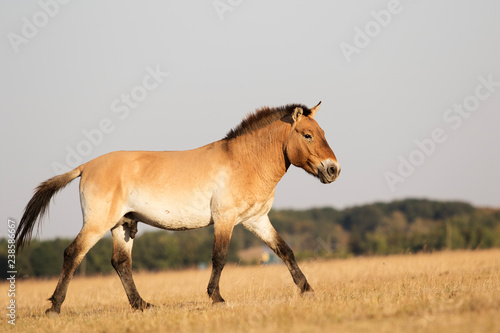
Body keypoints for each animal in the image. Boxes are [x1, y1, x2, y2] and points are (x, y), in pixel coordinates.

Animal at [17, 101, 342, 314]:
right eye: (307, 135)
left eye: (323, 132)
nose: (333, 170)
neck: (243, 161)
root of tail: (86, 166)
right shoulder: (225, 219)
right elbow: (219, 258)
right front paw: (216, 298)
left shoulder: (257, 220)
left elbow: (284, 250)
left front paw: (307, 289)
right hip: (97, 224)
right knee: (73, 253)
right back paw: (55, 307)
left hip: (123, 225)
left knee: (121, 263)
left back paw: (141, 305)